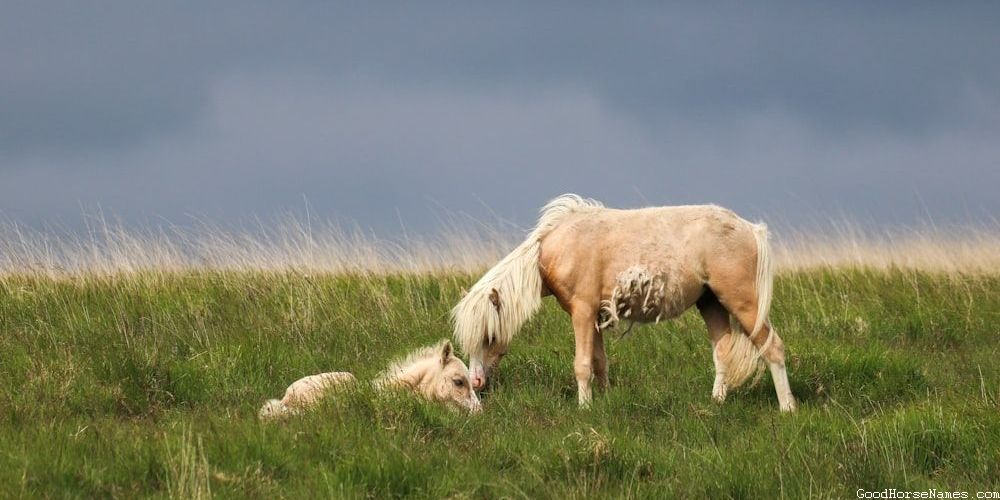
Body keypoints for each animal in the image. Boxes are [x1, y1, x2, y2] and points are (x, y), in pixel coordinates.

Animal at [452, 194, 797, 412]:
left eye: (489, 336)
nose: (476, 381)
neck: (558, 246)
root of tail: (751, 229)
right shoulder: (595, 315)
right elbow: (599, 362)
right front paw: (603, 400)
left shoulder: (582, 312)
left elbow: (582, 365)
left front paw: (584, 408)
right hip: (711, 304)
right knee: (723, 351)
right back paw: (717, 402)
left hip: (743, 303)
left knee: (773, 348)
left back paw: (788, 408)